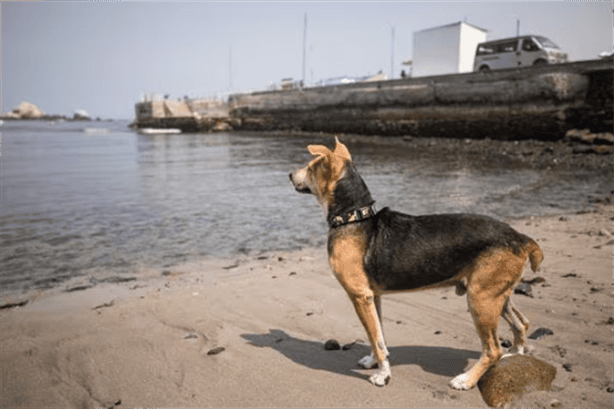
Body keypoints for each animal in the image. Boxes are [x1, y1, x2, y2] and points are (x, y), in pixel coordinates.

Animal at [288, 137, 544, 388]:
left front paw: (383, 375)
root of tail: (520, 237)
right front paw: (373, 362)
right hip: (496, 294)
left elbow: (377, 340)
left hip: (481, 299)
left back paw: (466, 380)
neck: (354, 217)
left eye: (310, 167)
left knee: (493, 350)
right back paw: (516, 354)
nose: (289, 175)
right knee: (521, 325)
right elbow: (377, 336)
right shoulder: (373, 297)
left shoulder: (360, 296)